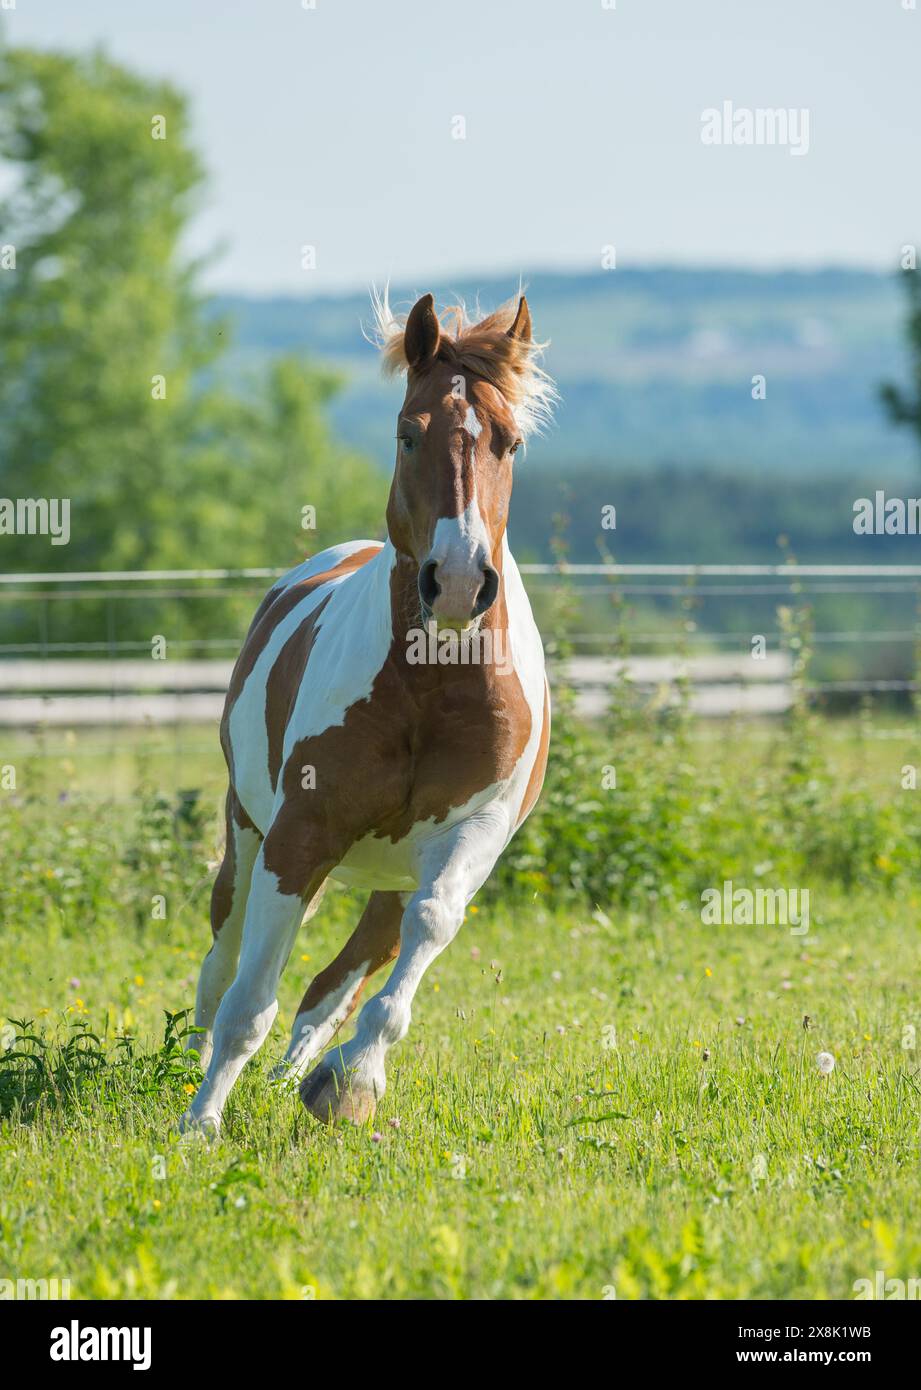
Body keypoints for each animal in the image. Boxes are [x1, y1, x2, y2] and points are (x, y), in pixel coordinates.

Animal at [180, 290, 556, 1133]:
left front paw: (350, 1082)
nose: (457, 582)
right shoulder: (301, 832)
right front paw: (201, 1124)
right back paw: (188, 1072)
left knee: (336, 981)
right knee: (223, 962)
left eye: (512, 442)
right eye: (408, 433)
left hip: (388, 874)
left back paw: (295, 1078)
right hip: (248, 833)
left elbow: (420, 940)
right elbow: (249, 1000)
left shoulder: (473, 836)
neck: (431, 686)